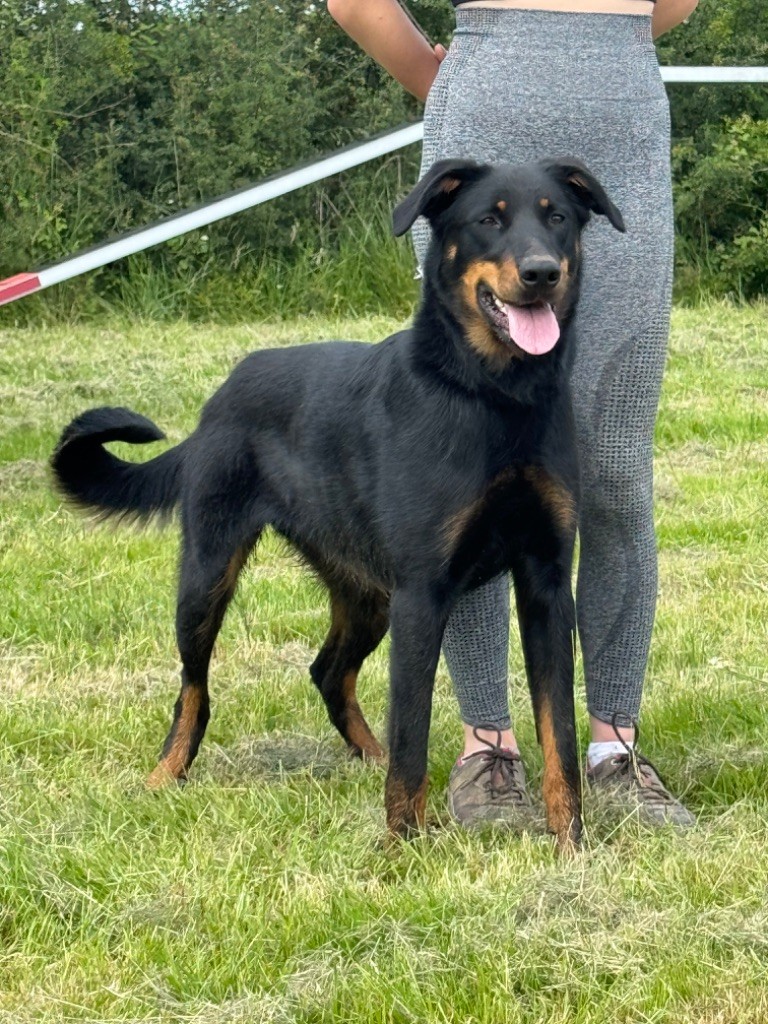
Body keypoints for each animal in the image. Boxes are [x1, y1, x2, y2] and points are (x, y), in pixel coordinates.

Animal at [52, 158, 625, 851]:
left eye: (558, 217)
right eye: (489, 219)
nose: (542, 272)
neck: (493, 396)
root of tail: (219, 398)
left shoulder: (544, 584)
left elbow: (557, 729)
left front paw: (571, 843)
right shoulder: (422, 594)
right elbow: (412, 731)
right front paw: (402, 847)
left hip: (364, 591)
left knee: (327, 672)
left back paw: (366, 757)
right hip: (208, 576)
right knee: (194, 687)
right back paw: (166, 773)